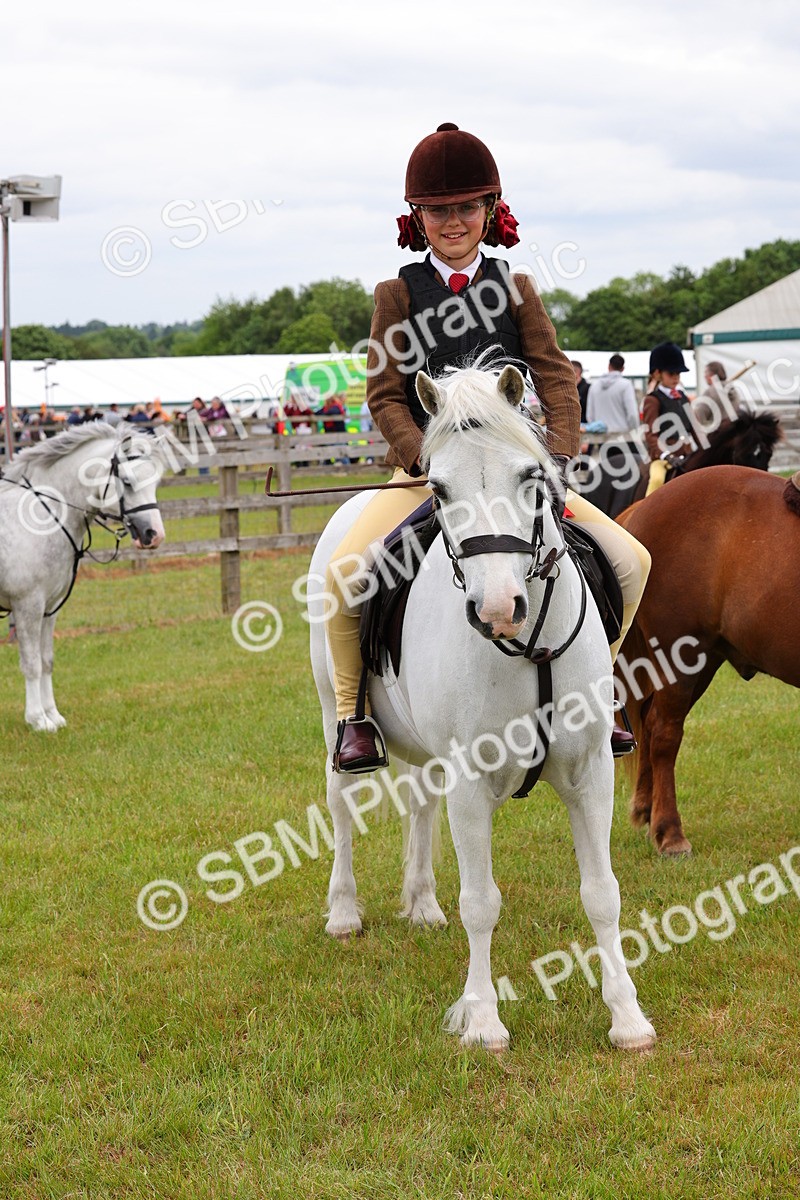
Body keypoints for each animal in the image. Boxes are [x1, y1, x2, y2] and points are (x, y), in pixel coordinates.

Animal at [0, 423, 165, 731]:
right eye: (127, 481)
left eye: (156, 481)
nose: (154, 535)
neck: (39, 515)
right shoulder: (27, 605)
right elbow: (31, 663)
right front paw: (38, 720)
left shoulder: (49, 608)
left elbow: (46, 660)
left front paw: (53, 714)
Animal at [307, 363, 655, 1052]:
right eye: (439, 489)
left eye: (531, 478)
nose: (497, 609)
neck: (530, 644)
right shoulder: (471, 783)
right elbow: (481, 902)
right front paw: (483, 1020)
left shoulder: (591, 772)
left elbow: (602, 892)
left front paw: (627, 1018)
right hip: (335, 713)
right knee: (341, 803)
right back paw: (344, 912)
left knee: (418, 802)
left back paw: (422, 904)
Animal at [614, 465, 800, 856]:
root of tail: (645, 505)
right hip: (680, 656)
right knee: (665, 733)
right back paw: (669, 832)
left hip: (703, 661)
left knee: (651, 725)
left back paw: (648, 810)